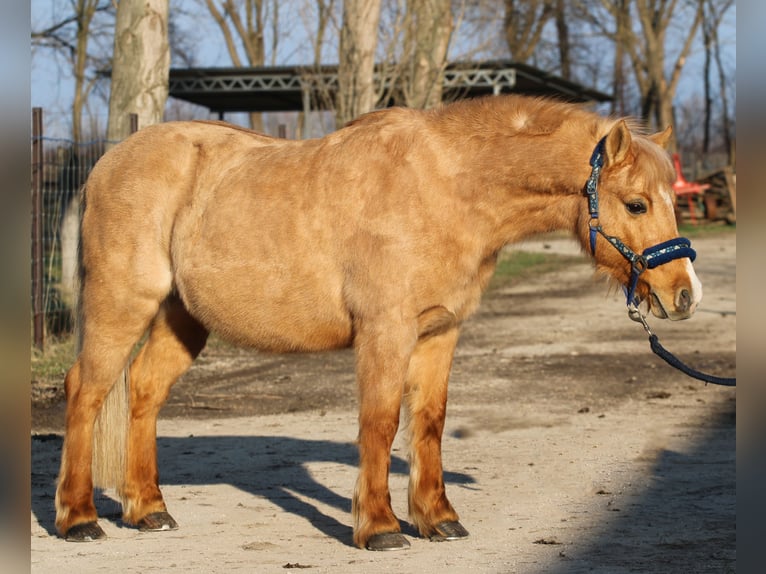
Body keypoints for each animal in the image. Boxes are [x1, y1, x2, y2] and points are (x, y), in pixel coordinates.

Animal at [54, 94, 702, 551]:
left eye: (675, 198)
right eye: (637, 203)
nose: (685, 294)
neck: (447, 187)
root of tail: (105, 163)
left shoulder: (439, 332)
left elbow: (429, 423)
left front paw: (438, 519)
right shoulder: (385, 331)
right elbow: (381, 422)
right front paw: (381, 527)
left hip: (181, 317)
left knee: (143, 391)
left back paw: (148, 511)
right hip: (122, 304)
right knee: (86, 392)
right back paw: (79, 518)